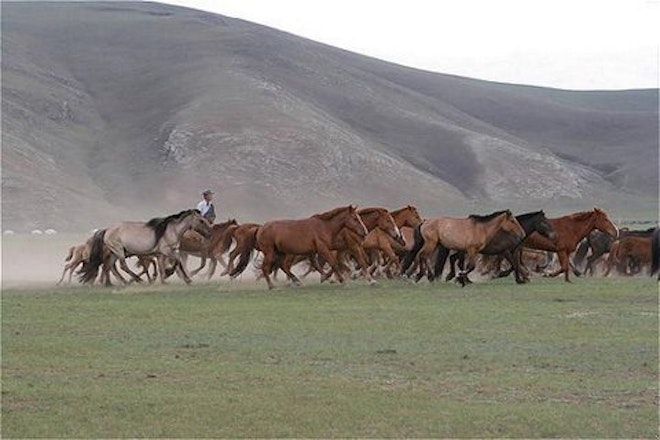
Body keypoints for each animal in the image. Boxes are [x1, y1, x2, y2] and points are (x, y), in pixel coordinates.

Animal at [78, 209, 211, 286]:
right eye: (201, 221)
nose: (209, 234)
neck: (172, 230)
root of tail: (107, 229)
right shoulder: (166, 250)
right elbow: (177, 261)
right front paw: (180, 277)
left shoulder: (162, 253)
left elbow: (164, 265)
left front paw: (164, 280)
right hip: (119, 251)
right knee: (121, 266)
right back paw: (136, 280)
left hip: (114, 253)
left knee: (109, 267)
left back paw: (115, 283)